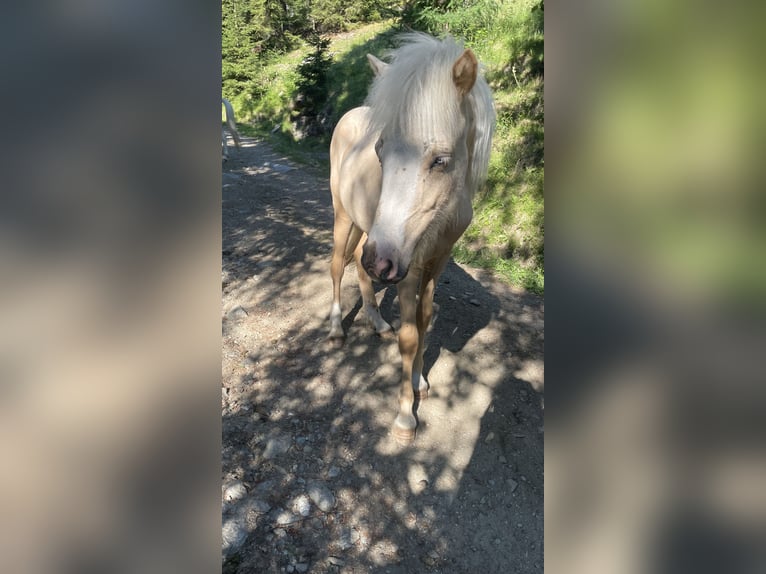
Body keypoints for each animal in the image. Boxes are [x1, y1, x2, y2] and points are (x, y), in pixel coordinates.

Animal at [327, 33, 495, 443]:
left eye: (441, 160)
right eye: (379, 150)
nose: (382, 262)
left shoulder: (436, 261)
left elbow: (424, 321)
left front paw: (420, 382)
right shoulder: (409, 267)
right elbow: (408, 336)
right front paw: (405, 416)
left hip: (368, 234)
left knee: (359, 265)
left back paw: (376, 322)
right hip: (345, 217)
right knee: (338, 264)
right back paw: (337, 330)